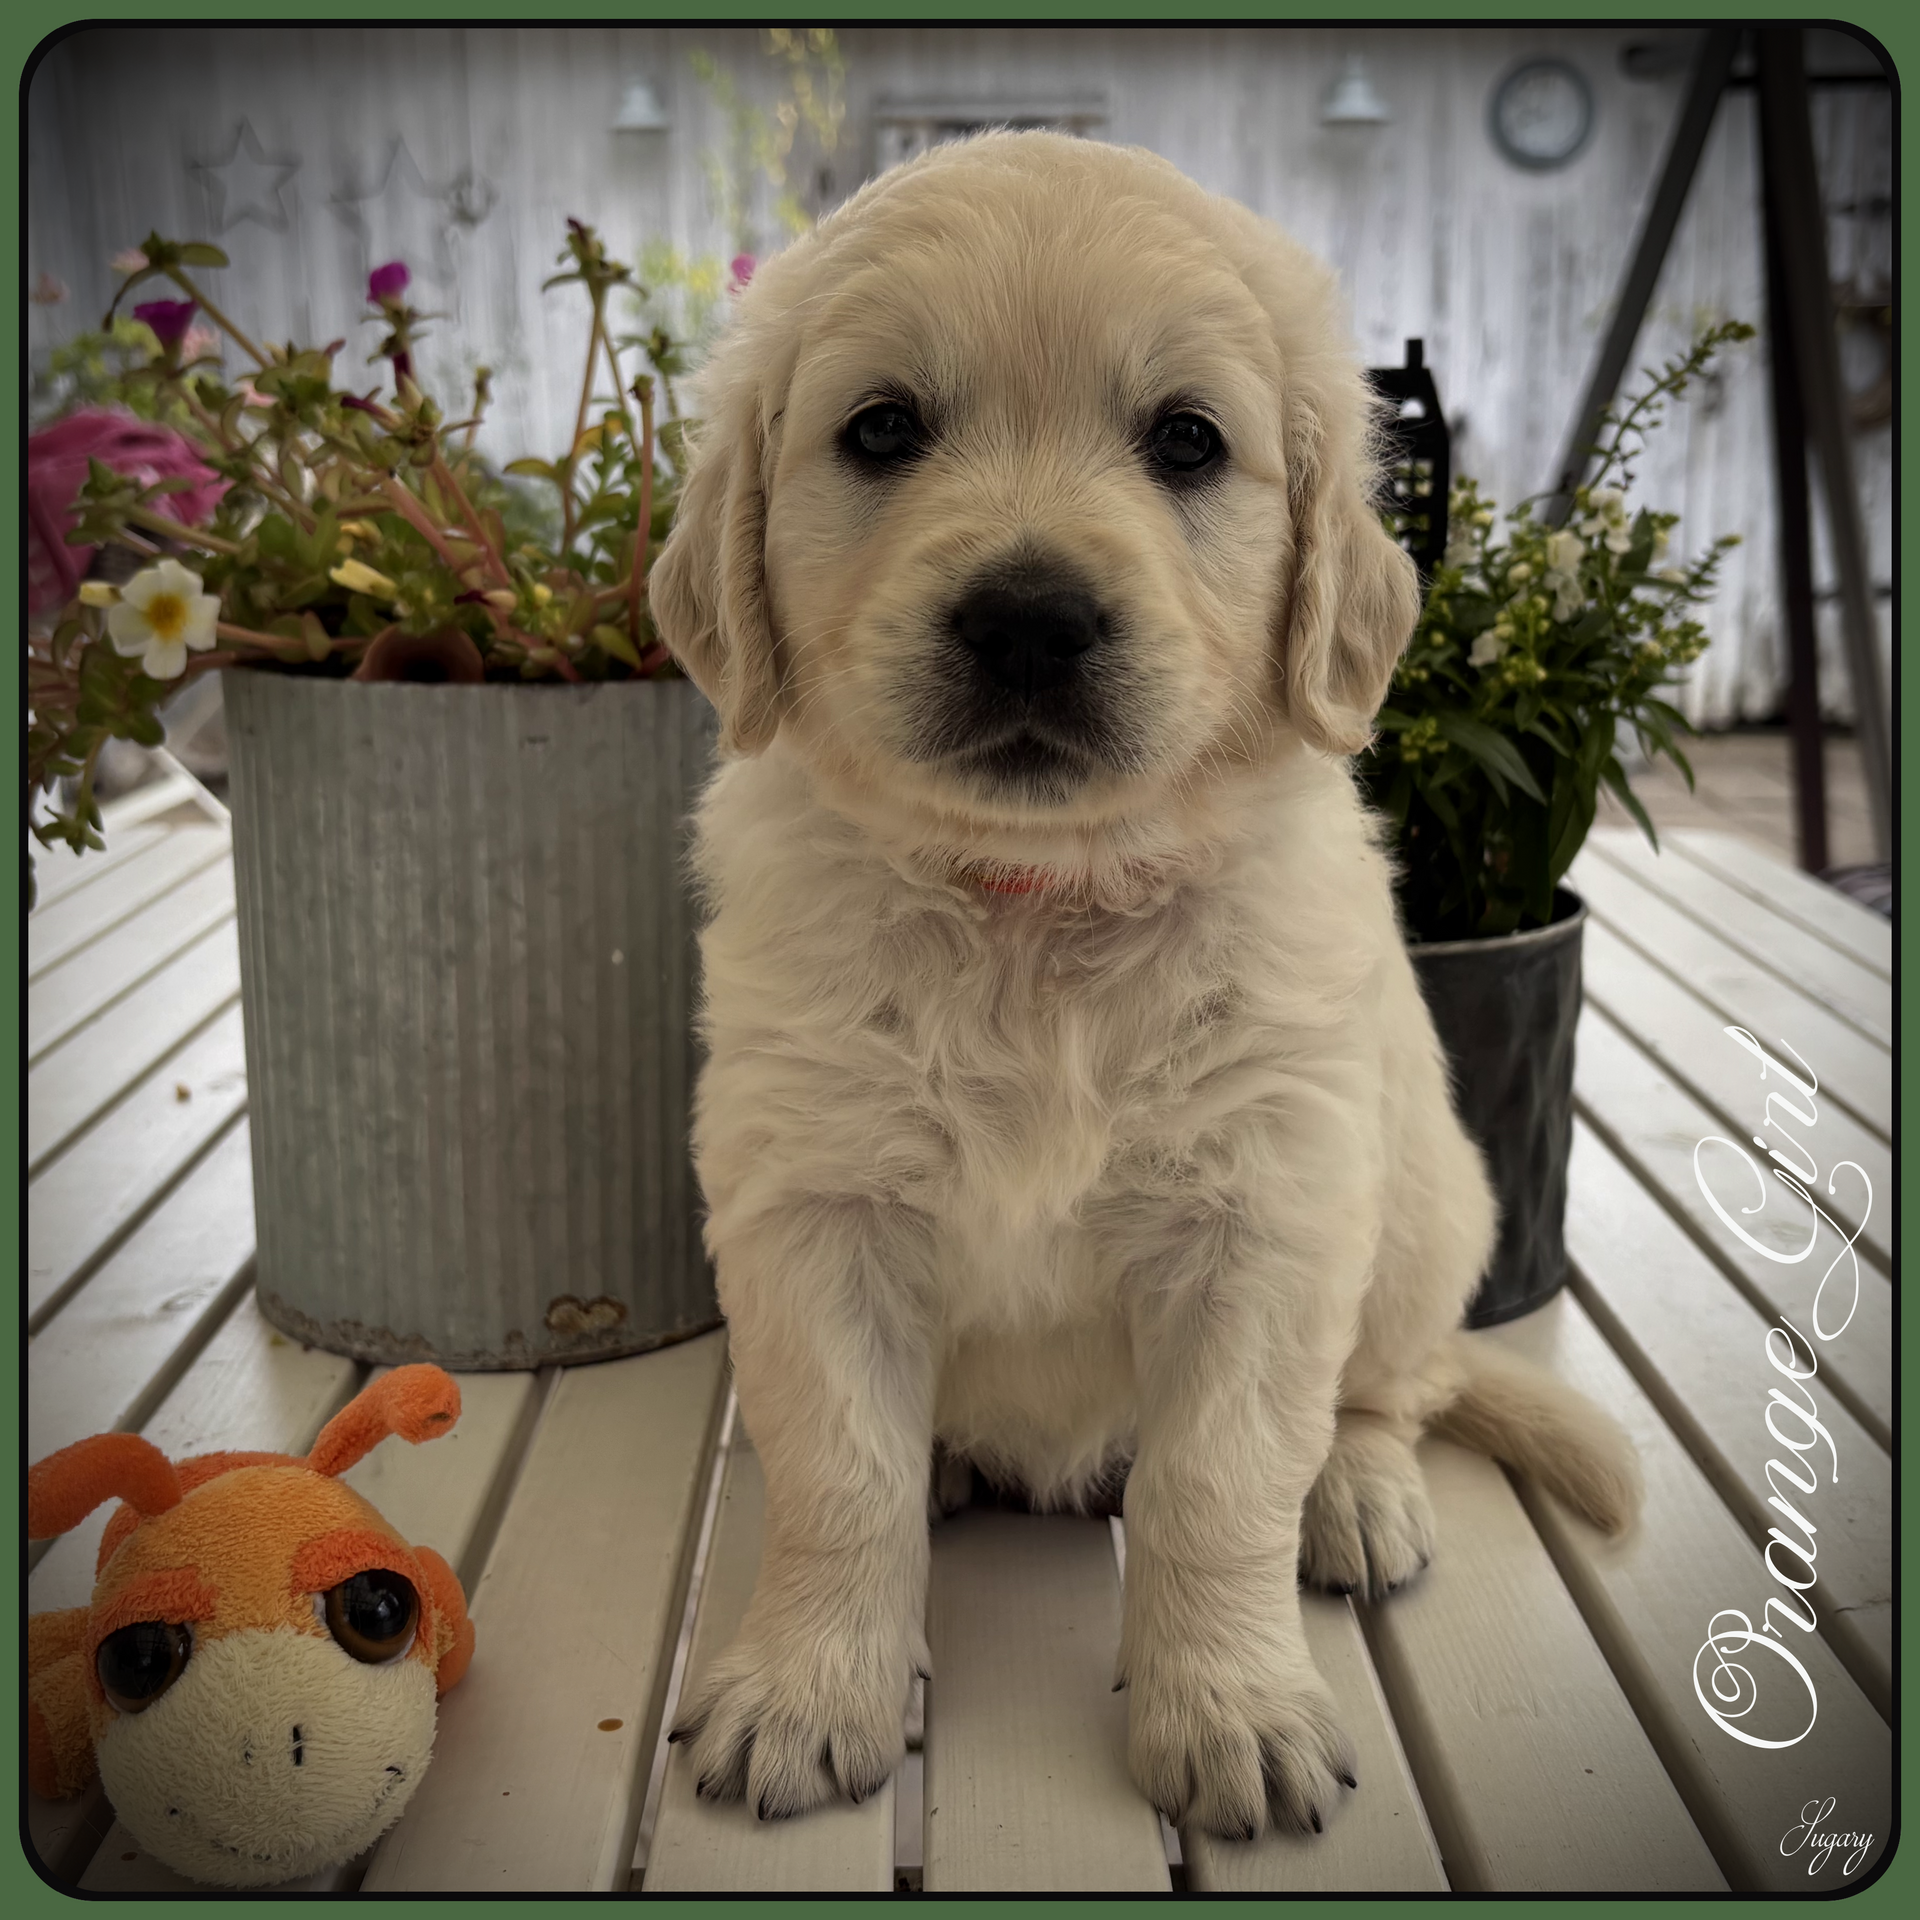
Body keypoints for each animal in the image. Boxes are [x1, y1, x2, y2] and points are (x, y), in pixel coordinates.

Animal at [650, 129, 1640, 1841]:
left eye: (1187, 441)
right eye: (882, 427)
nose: (1029, 619)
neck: (1037, 908)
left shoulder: (1269, 1215)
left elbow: (1217, 1481)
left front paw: (1231, 1712)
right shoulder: (811, 1200)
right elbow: (838, 1469)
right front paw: (808, 1689)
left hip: (1426, 1211)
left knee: (1394, 1386)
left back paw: (1355, 1493)